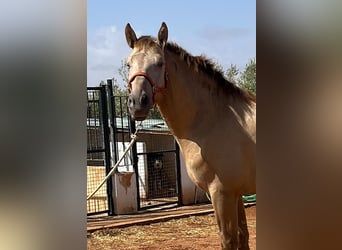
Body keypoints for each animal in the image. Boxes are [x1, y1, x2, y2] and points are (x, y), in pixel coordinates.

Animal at [124, 22, 255, 249]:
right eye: (128, 64)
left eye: (160, 63)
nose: (137, 103)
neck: (213, 119)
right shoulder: (236, 193)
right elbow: (243, 236)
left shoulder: (222, 193)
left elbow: (229, 240)